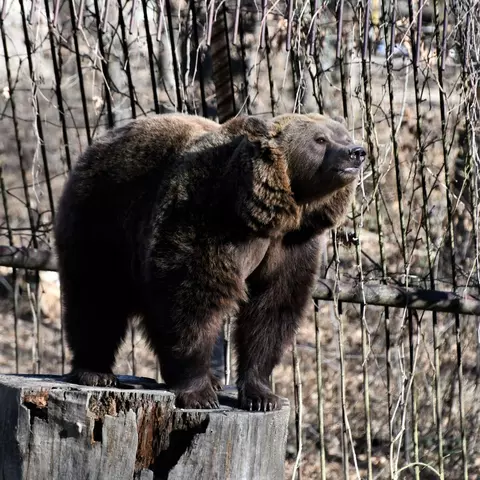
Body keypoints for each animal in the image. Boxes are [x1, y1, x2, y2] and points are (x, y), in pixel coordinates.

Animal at [53, 111, 364, 408]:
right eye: (320, 139)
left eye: (344, 135)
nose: (356, 152)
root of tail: (96, 145)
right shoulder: (206, 219)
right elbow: (195, 298)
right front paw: (199, 392)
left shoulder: (294, 244)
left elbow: (273, 308)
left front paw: (261, 395)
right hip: (103, 219)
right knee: (97, 296)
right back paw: (95, 371)